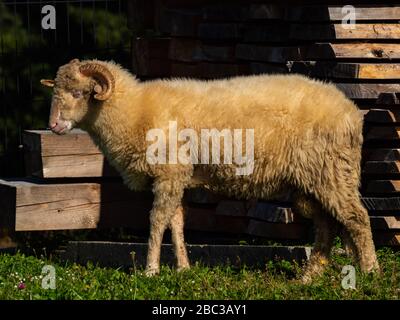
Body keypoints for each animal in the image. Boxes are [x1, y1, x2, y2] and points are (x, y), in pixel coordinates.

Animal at [41, 58, 382, 282]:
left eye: (80, 93)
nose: (54, 125)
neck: (134, 110)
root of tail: (352, 113)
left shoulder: (169, 173)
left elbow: (157, 221)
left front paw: (151, 270)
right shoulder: (177, 175)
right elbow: (176, 222)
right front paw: (183, 268)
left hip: (330, 171)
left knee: (356, 218)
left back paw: (370, 271)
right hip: (314, 179)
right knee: (328, 225)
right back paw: (309, 277)